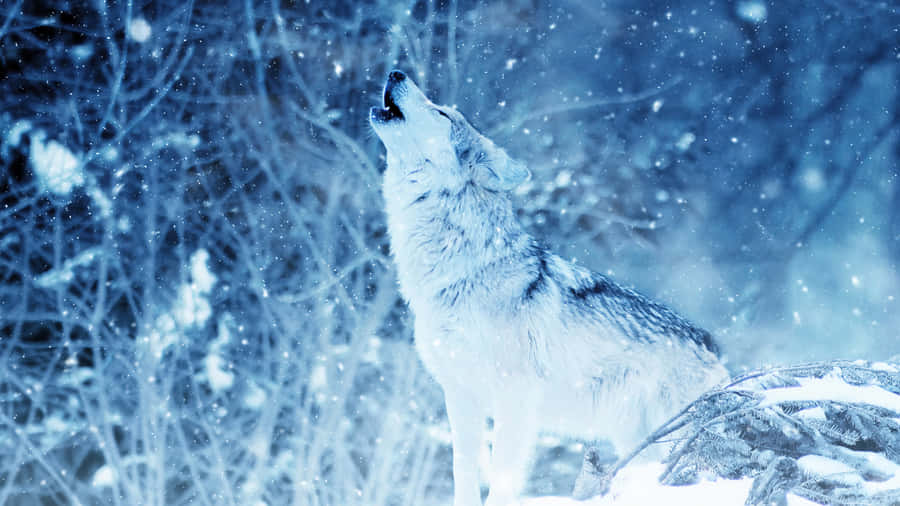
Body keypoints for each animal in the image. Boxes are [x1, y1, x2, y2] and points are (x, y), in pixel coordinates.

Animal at [369, 70, 729, 506]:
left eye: (442, 113)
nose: (396, 72)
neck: (460, 270)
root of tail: (712, 346)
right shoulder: (460, 396)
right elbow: (463, 473)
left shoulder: (516, 400)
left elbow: (503, 480)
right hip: (636, 439)